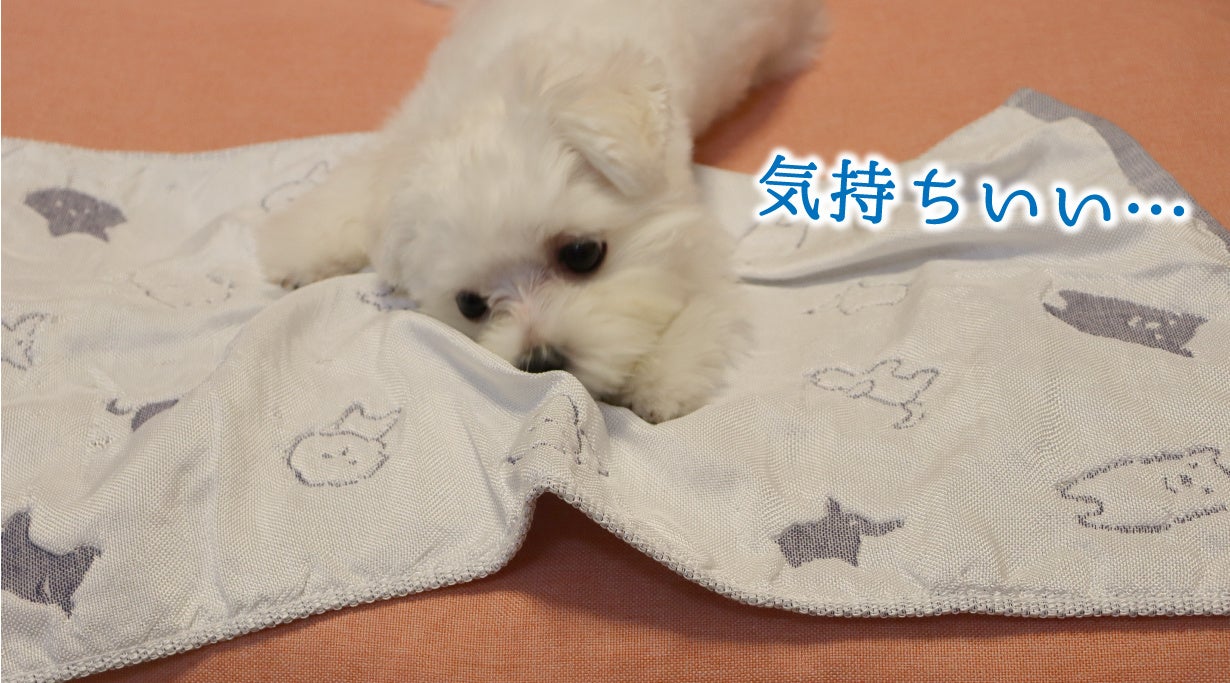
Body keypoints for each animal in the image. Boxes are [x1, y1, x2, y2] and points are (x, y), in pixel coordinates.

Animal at [256, 0, 826, 423]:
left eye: (582, 254)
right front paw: (299, 247)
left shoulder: (678, 213)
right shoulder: (408, 133)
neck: (488, 97)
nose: (542, 362)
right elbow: (354, 190)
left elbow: (699, 290)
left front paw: (660, 374)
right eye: (470, 305)